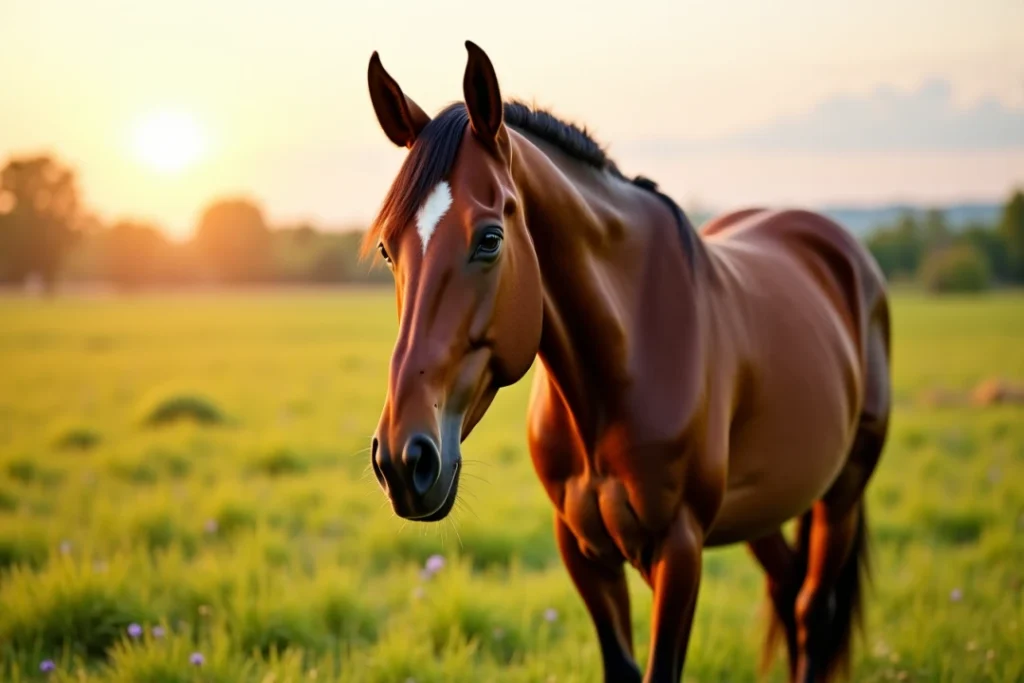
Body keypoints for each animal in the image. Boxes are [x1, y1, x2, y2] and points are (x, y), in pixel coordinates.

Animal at [363, 41, 891, 683]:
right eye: (388, 248)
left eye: (489, 239)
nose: (403, 460)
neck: (621, 363)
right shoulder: (584, 552)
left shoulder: (680, 550)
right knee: (789, 590)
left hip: (844, 492)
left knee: (815, 610)